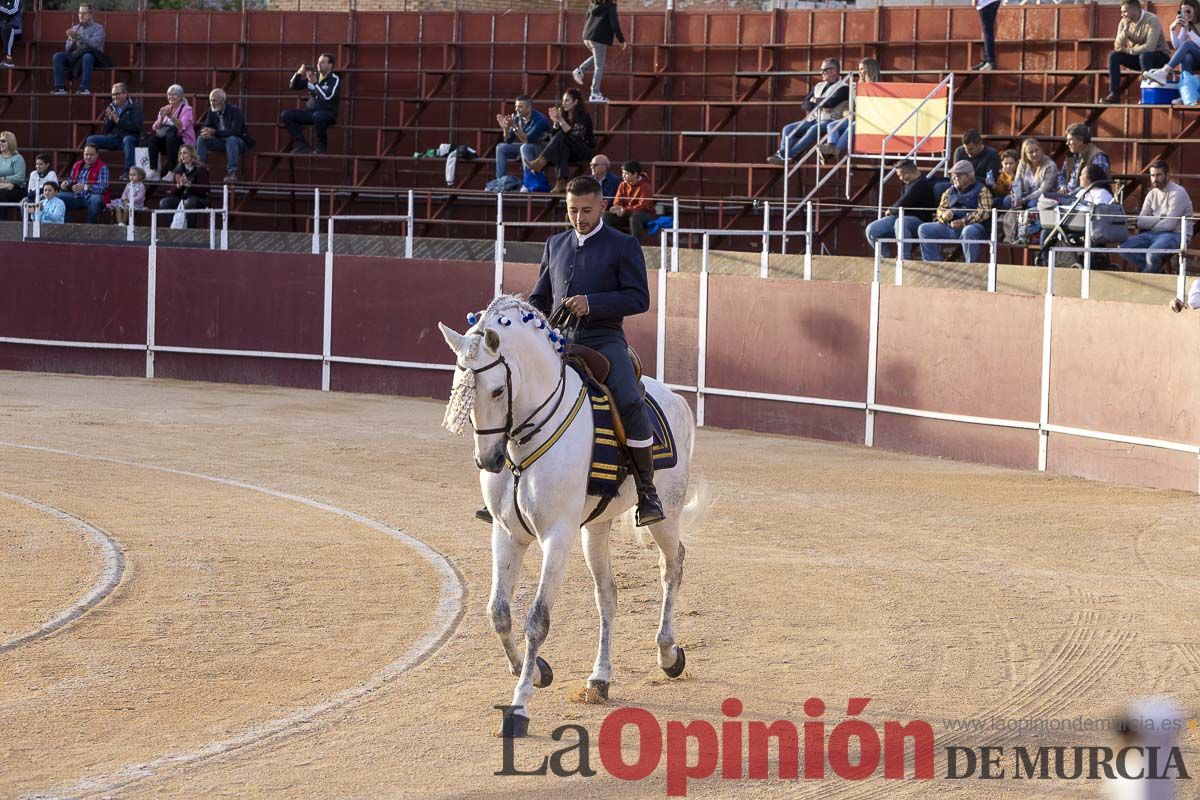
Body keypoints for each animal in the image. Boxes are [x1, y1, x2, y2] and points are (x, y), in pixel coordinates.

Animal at [439, 293, 700, 738]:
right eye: (458, 387)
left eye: (497, 390)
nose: (487, 460)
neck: (524, 441)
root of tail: (675, 398)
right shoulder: (507, 534)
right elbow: (499, 612)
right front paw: (536, 671)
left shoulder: (557, 537)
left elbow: (537, 619)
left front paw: (520, 706)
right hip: (595, 528)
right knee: (607, 594)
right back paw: (600, 678)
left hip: (665, 515)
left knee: (673, 565)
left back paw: (668, 654)